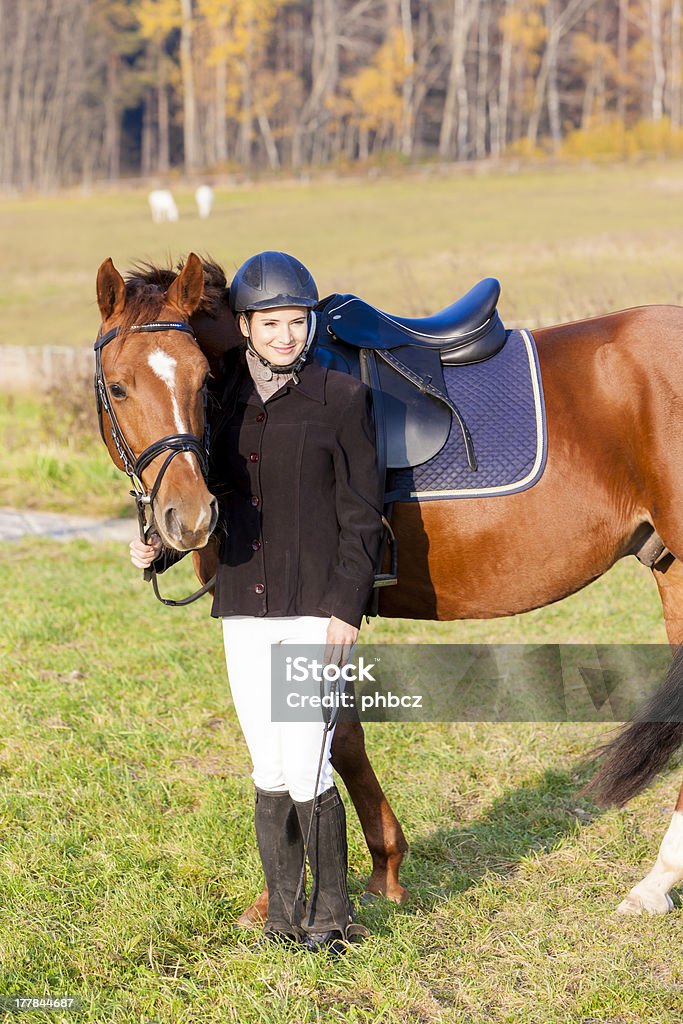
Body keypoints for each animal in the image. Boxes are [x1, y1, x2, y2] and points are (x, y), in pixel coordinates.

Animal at [97, 253, 683, 921]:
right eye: (119, 386)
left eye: (200, 382)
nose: (189, 517)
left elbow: (332, 737)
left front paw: (352, 877)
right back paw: (658, 881)